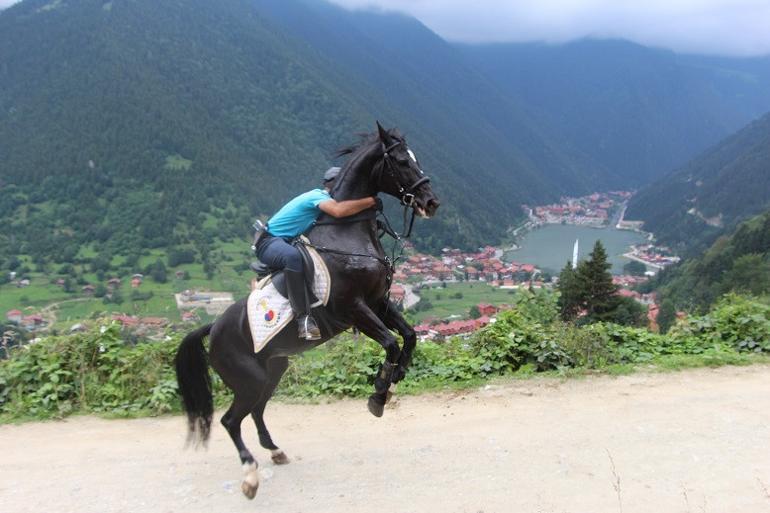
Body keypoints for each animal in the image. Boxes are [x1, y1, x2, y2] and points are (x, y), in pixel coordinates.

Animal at [175, 122, 438, 498]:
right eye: (402, 161)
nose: (431, 201)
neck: (347, 236)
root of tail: (213, 328)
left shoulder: (378, 301)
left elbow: (410, 335)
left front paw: (395, 377)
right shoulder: (354, 307)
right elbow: (390, 343)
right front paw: (378, 393)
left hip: (273, 369)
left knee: (256, 411)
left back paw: (275, 451)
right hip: (249, 379)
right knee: (231, 420)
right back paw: (250, 473)